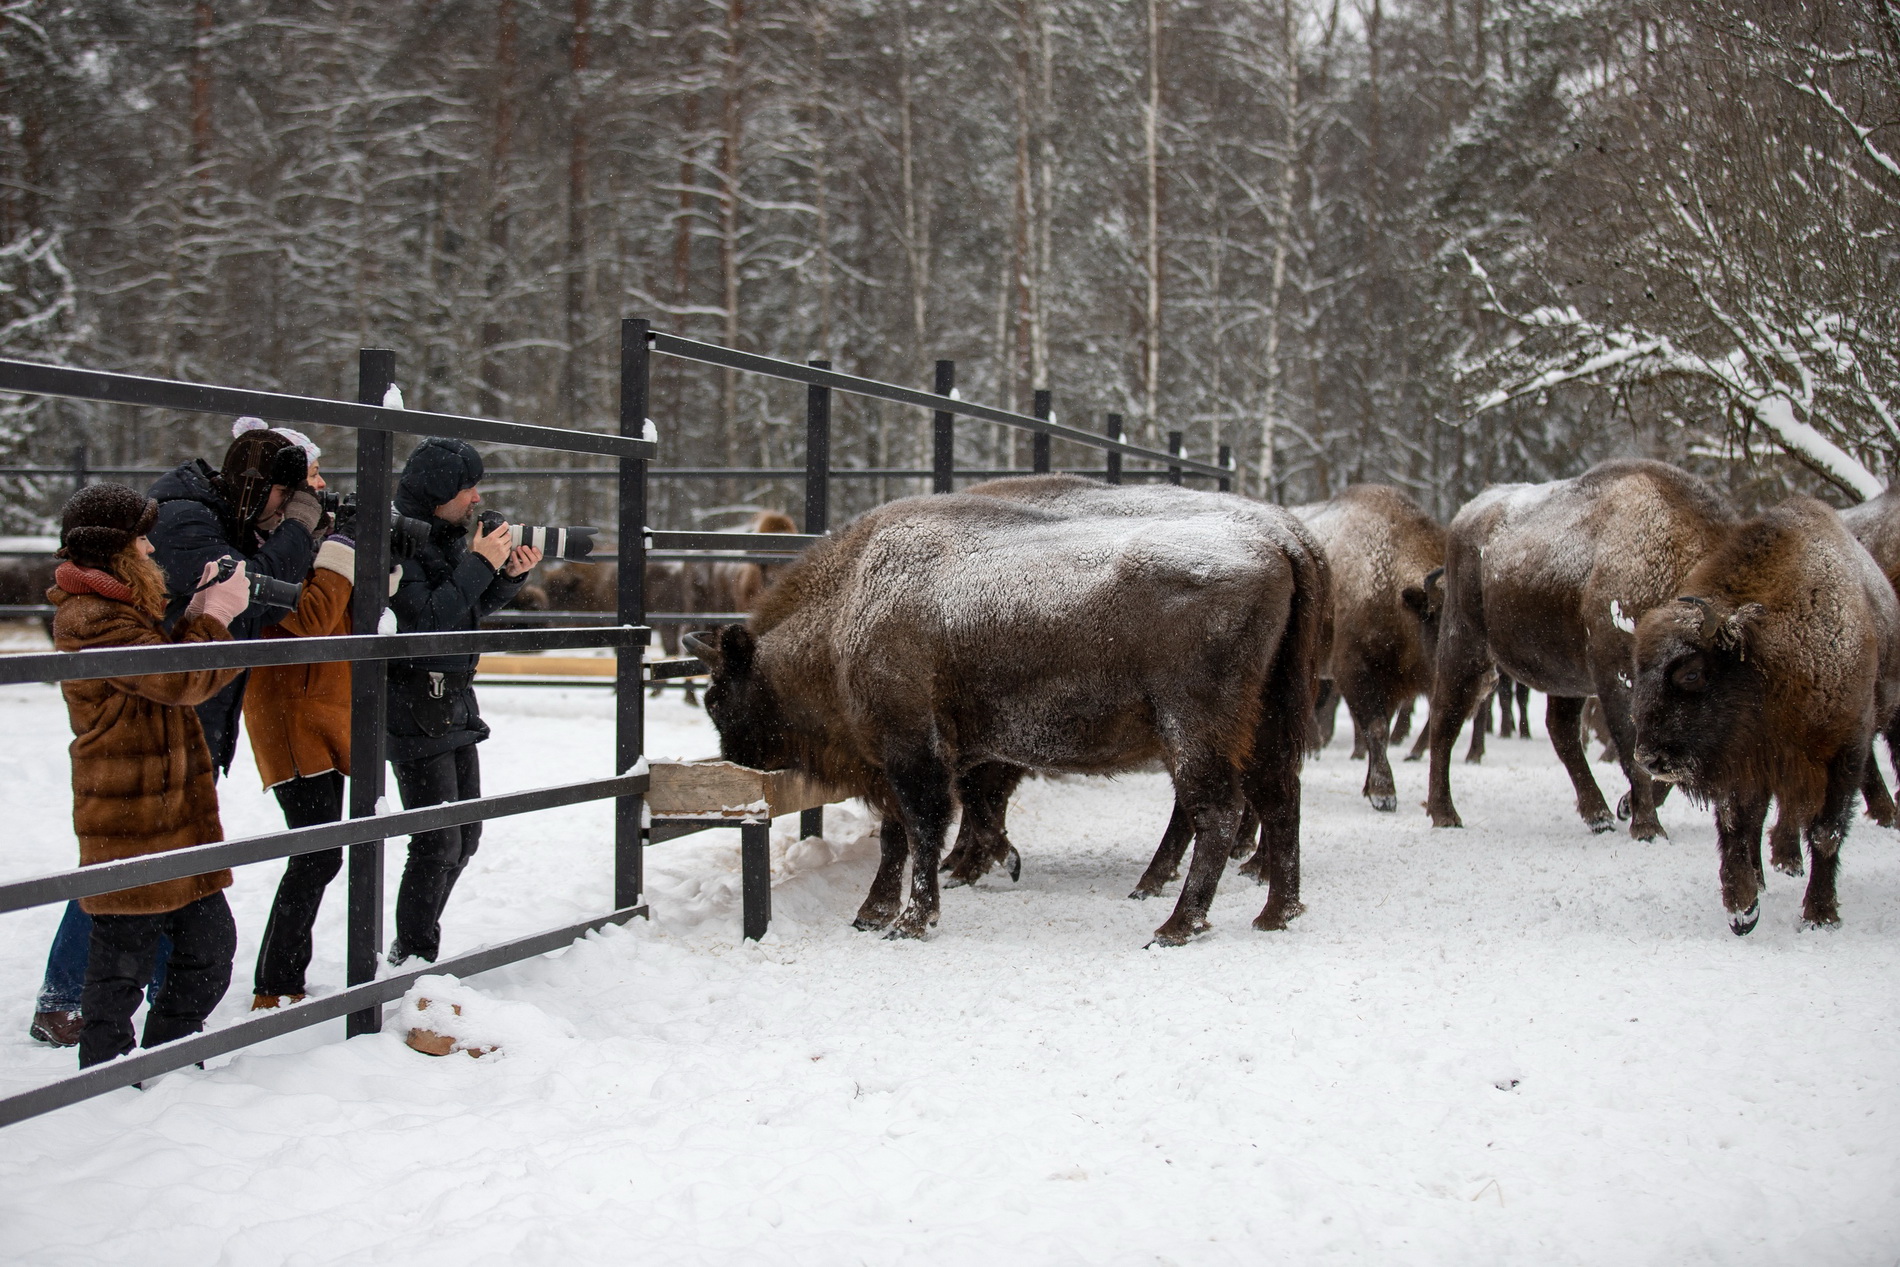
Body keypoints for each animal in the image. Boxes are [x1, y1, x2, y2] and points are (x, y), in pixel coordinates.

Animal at [680, 480, 1322, 945]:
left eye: (717, 698)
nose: (733, 756)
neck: (851, 607)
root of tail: (1282, 544)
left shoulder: (912, 750)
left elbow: (922, 827)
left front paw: (912, 921)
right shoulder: (909, 758)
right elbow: (901, 832)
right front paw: (875, 912)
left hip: (1193, 727)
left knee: (1215, 811)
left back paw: (1175, 926)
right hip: (1263, 722)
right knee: (1278, 797)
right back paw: (1275, 913)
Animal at [1299, 480, 1444, 816]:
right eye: (1432, 615)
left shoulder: (1388, 683)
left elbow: (1381, 729)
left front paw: (1370, 787)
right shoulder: (1355, 672)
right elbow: (1376, 728)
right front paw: (1384, 795)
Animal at [1428, 457, 1740, 843]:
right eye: (1694, 673)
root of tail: (1467, 514)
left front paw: (1627, 807)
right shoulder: (1617, 678)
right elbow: (1633, 751)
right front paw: (1647, 827)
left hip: (1567, 675)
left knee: (1561, 731)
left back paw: (1599, 815)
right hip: (1465, 648)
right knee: (1446, 718)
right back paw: (1445, 814)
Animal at [1634, 497, 1900, 930]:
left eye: (1691, 673)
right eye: (1638, 670)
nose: (1648, 758)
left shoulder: (1844, 752)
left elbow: (1826, 831)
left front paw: (1820, 915)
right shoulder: (1744, 764)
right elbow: (1736, 825)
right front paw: (1742, 905)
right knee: (1763, 818)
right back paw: (1765, 874)